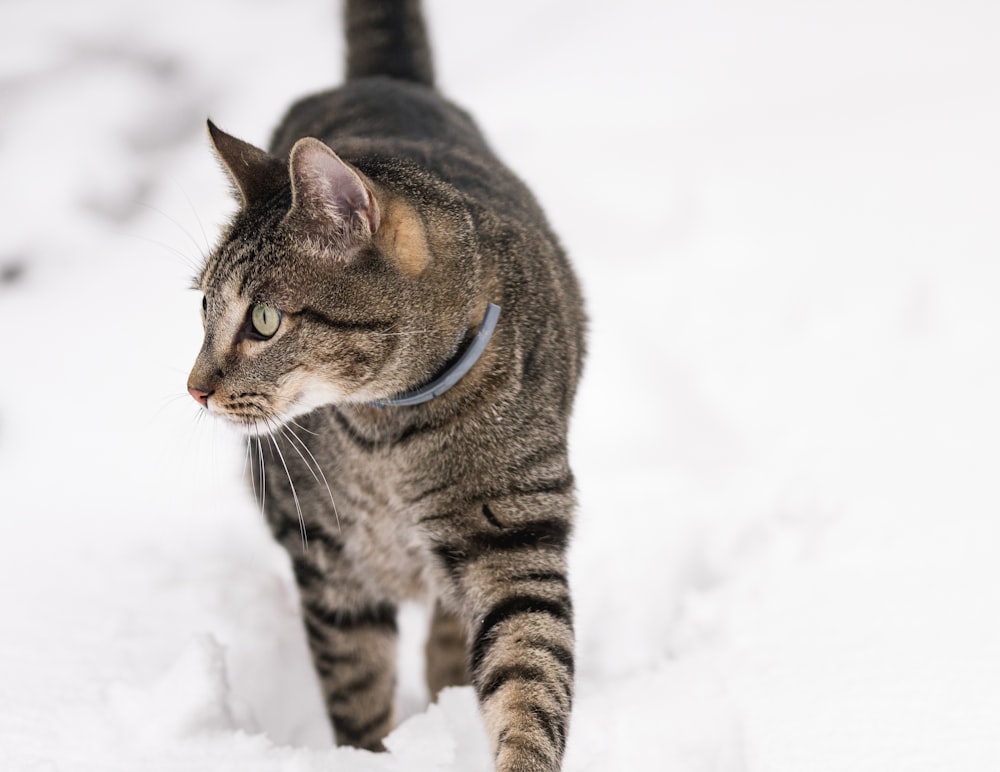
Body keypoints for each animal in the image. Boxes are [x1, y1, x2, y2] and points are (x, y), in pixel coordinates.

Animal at [187, 3, 584, 768]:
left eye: (263, 319)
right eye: (204, 308)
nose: (194, 386)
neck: (387, 431)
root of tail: (383, 78)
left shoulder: (514, 533)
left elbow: (529, 674)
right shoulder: (323, 553)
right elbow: (356, 685)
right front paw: (368, 754)